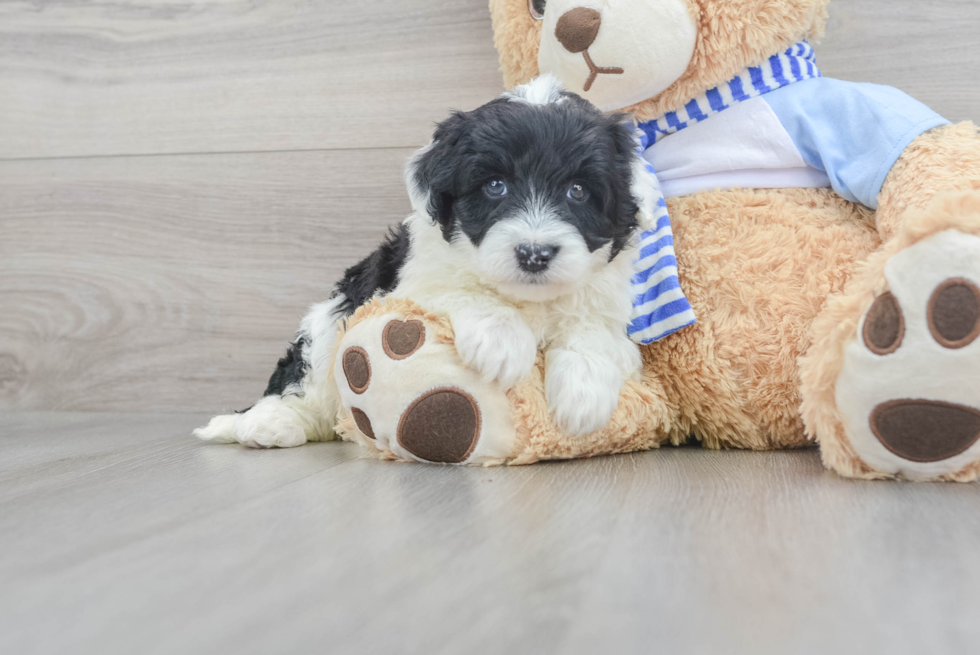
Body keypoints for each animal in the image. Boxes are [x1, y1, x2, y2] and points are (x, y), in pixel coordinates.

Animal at [197, 74, 660, 448]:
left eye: (578, 191)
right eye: (495, 186)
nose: (534, 253)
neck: (526, 298)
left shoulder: (607, 303)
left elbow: (593, 331)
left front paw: (584, 394)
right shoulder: (409, 284)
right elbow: (461, 290)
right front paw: (502, 342)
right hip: (329, 321)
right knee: (302, 379)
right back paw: (268, 423)